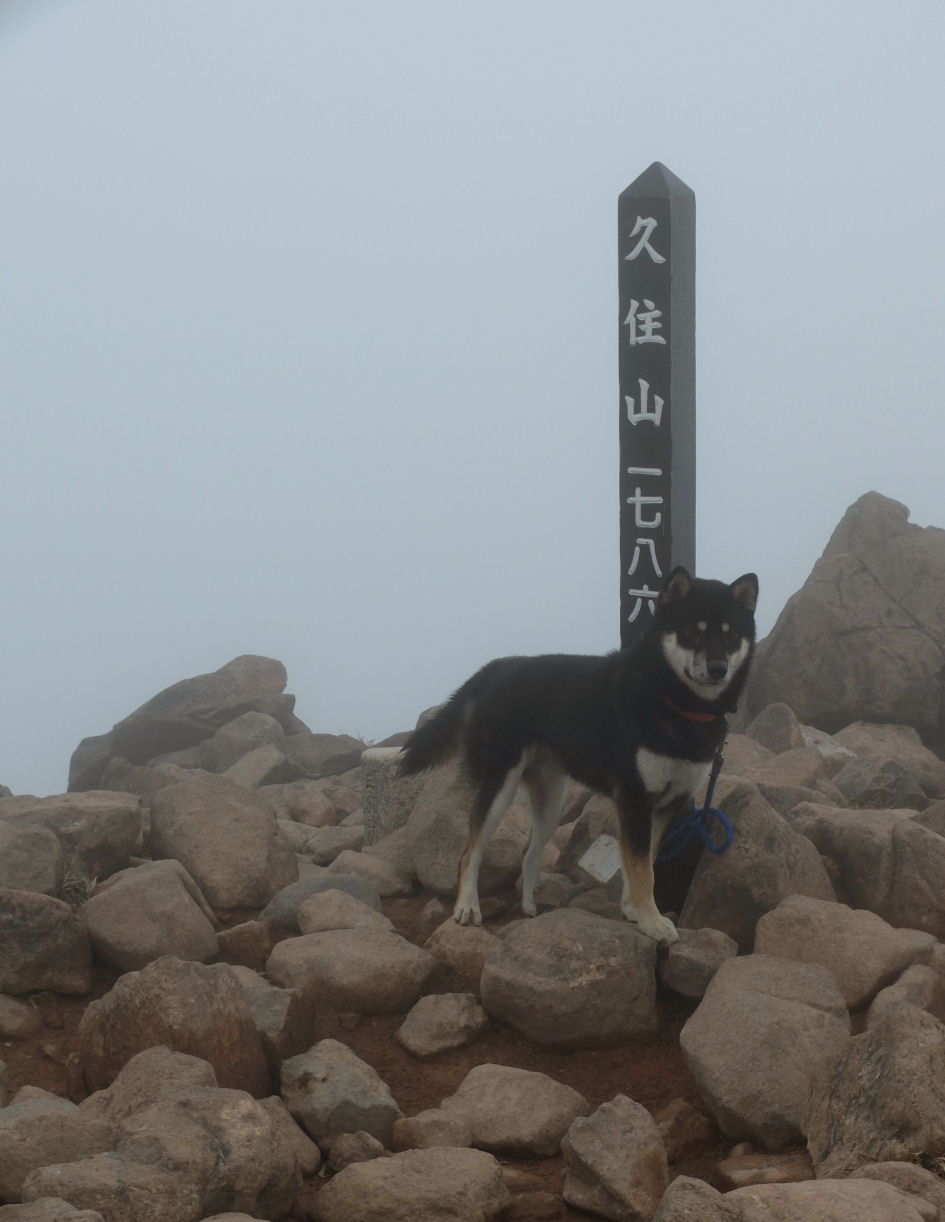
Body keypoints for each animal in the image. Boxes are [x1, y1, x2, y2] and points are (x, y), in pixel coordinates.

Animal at [398, 566, 758, 945]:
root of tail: (498, 667)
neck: (673, 702)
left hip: (551, 800)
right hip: (499, 787)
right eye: (692, 631)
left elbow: (644, 864)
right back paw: (467, 907)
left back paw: (529, 907)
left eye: (731, 635)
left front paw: (633, 911)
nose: (718, 667)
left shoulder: (666, 806)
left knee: (531, 854)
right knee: (470, 852)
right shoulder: (635, 800)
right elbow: (642, 870)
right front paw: (652, 921)